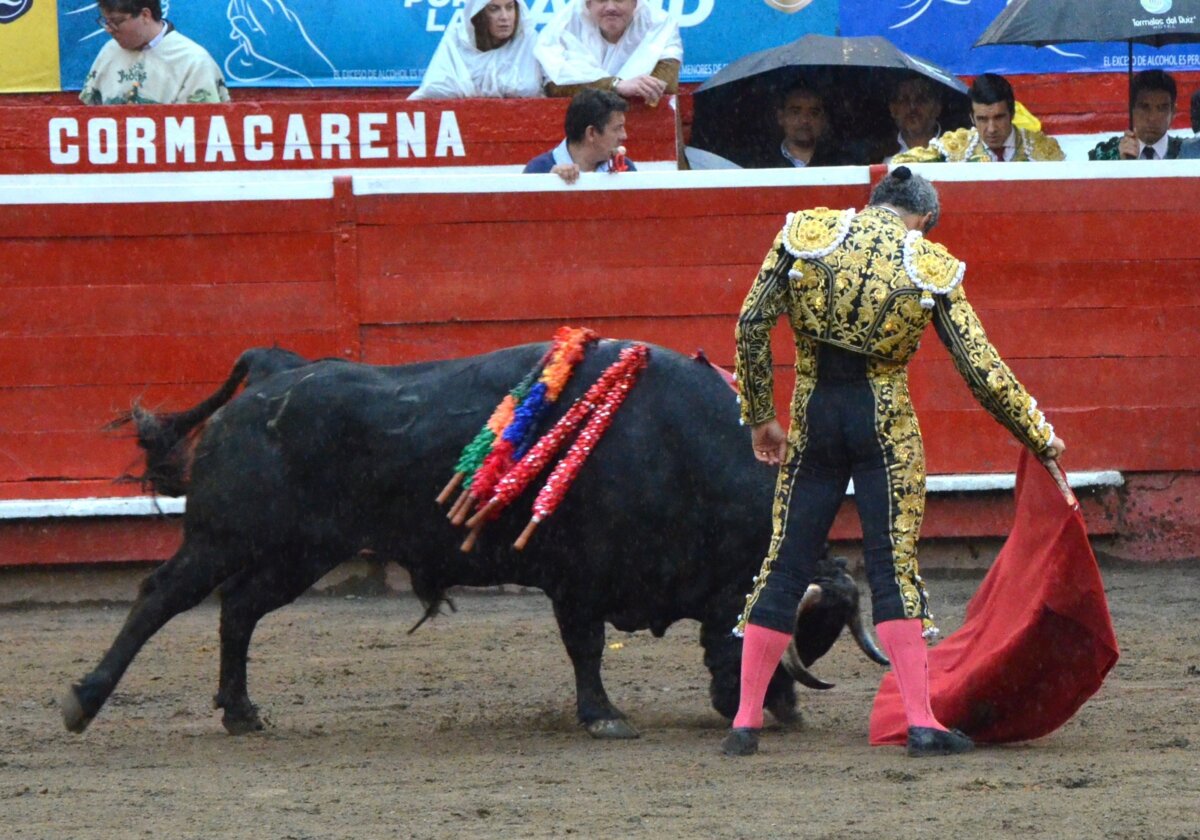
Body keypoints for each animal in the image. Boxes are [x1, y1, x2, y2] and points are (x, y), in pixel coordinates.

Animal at [61, 340, 885, 738]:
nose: (784, 710)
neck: (673, 446)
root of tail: (273, 374)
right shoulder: (576, 581)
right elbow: (586, 648)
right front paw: (603, 716)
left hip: (299, 553)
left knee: (237, 612)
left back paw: (241, 712)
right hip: (223, 536)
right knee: (159, 599)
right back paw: (84, 702)